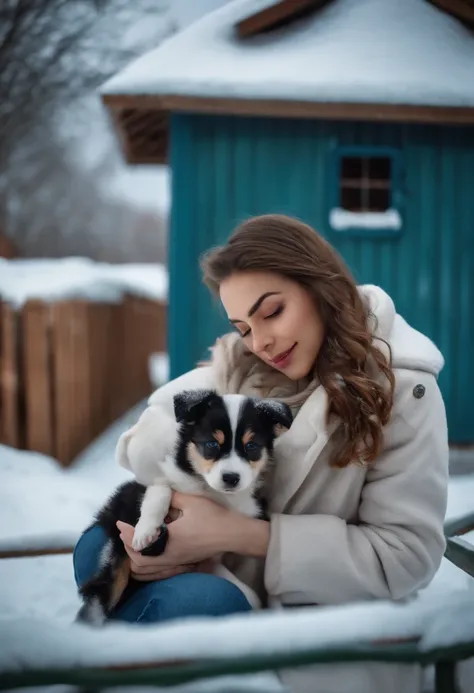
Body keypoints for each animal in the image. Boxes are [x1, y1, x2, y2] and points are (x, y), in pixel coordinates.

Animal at [76, 386, 292, 624]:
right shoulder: (152, 483)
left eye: (251, 446)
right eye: (212, 444)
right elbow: (160, 490)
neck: (213, 492)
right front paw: (146, 531)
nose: (231, 478)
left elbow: (251, 596)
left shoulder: (210, 558)